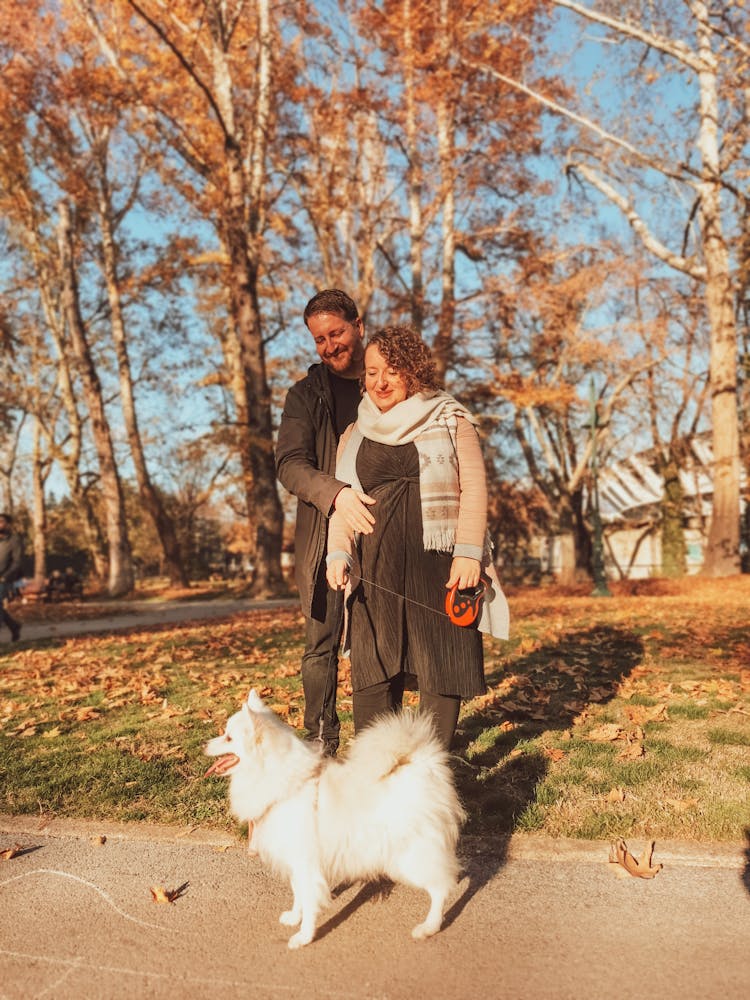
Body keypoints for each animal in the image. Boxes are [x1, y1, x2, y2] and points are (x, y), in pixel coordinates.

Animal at [206, 692, 464, 948]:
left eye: (228, 738)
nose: (203, 744)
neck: (283, 782)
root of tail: (424, 765)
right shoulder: (295, 860)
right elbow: (298, 892)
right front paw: (295, 917)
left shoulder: (306, 861)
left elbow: (309, 899)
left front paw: (304, 936)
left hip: (410, 856)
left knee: (441, 888)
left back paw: (429, 926)